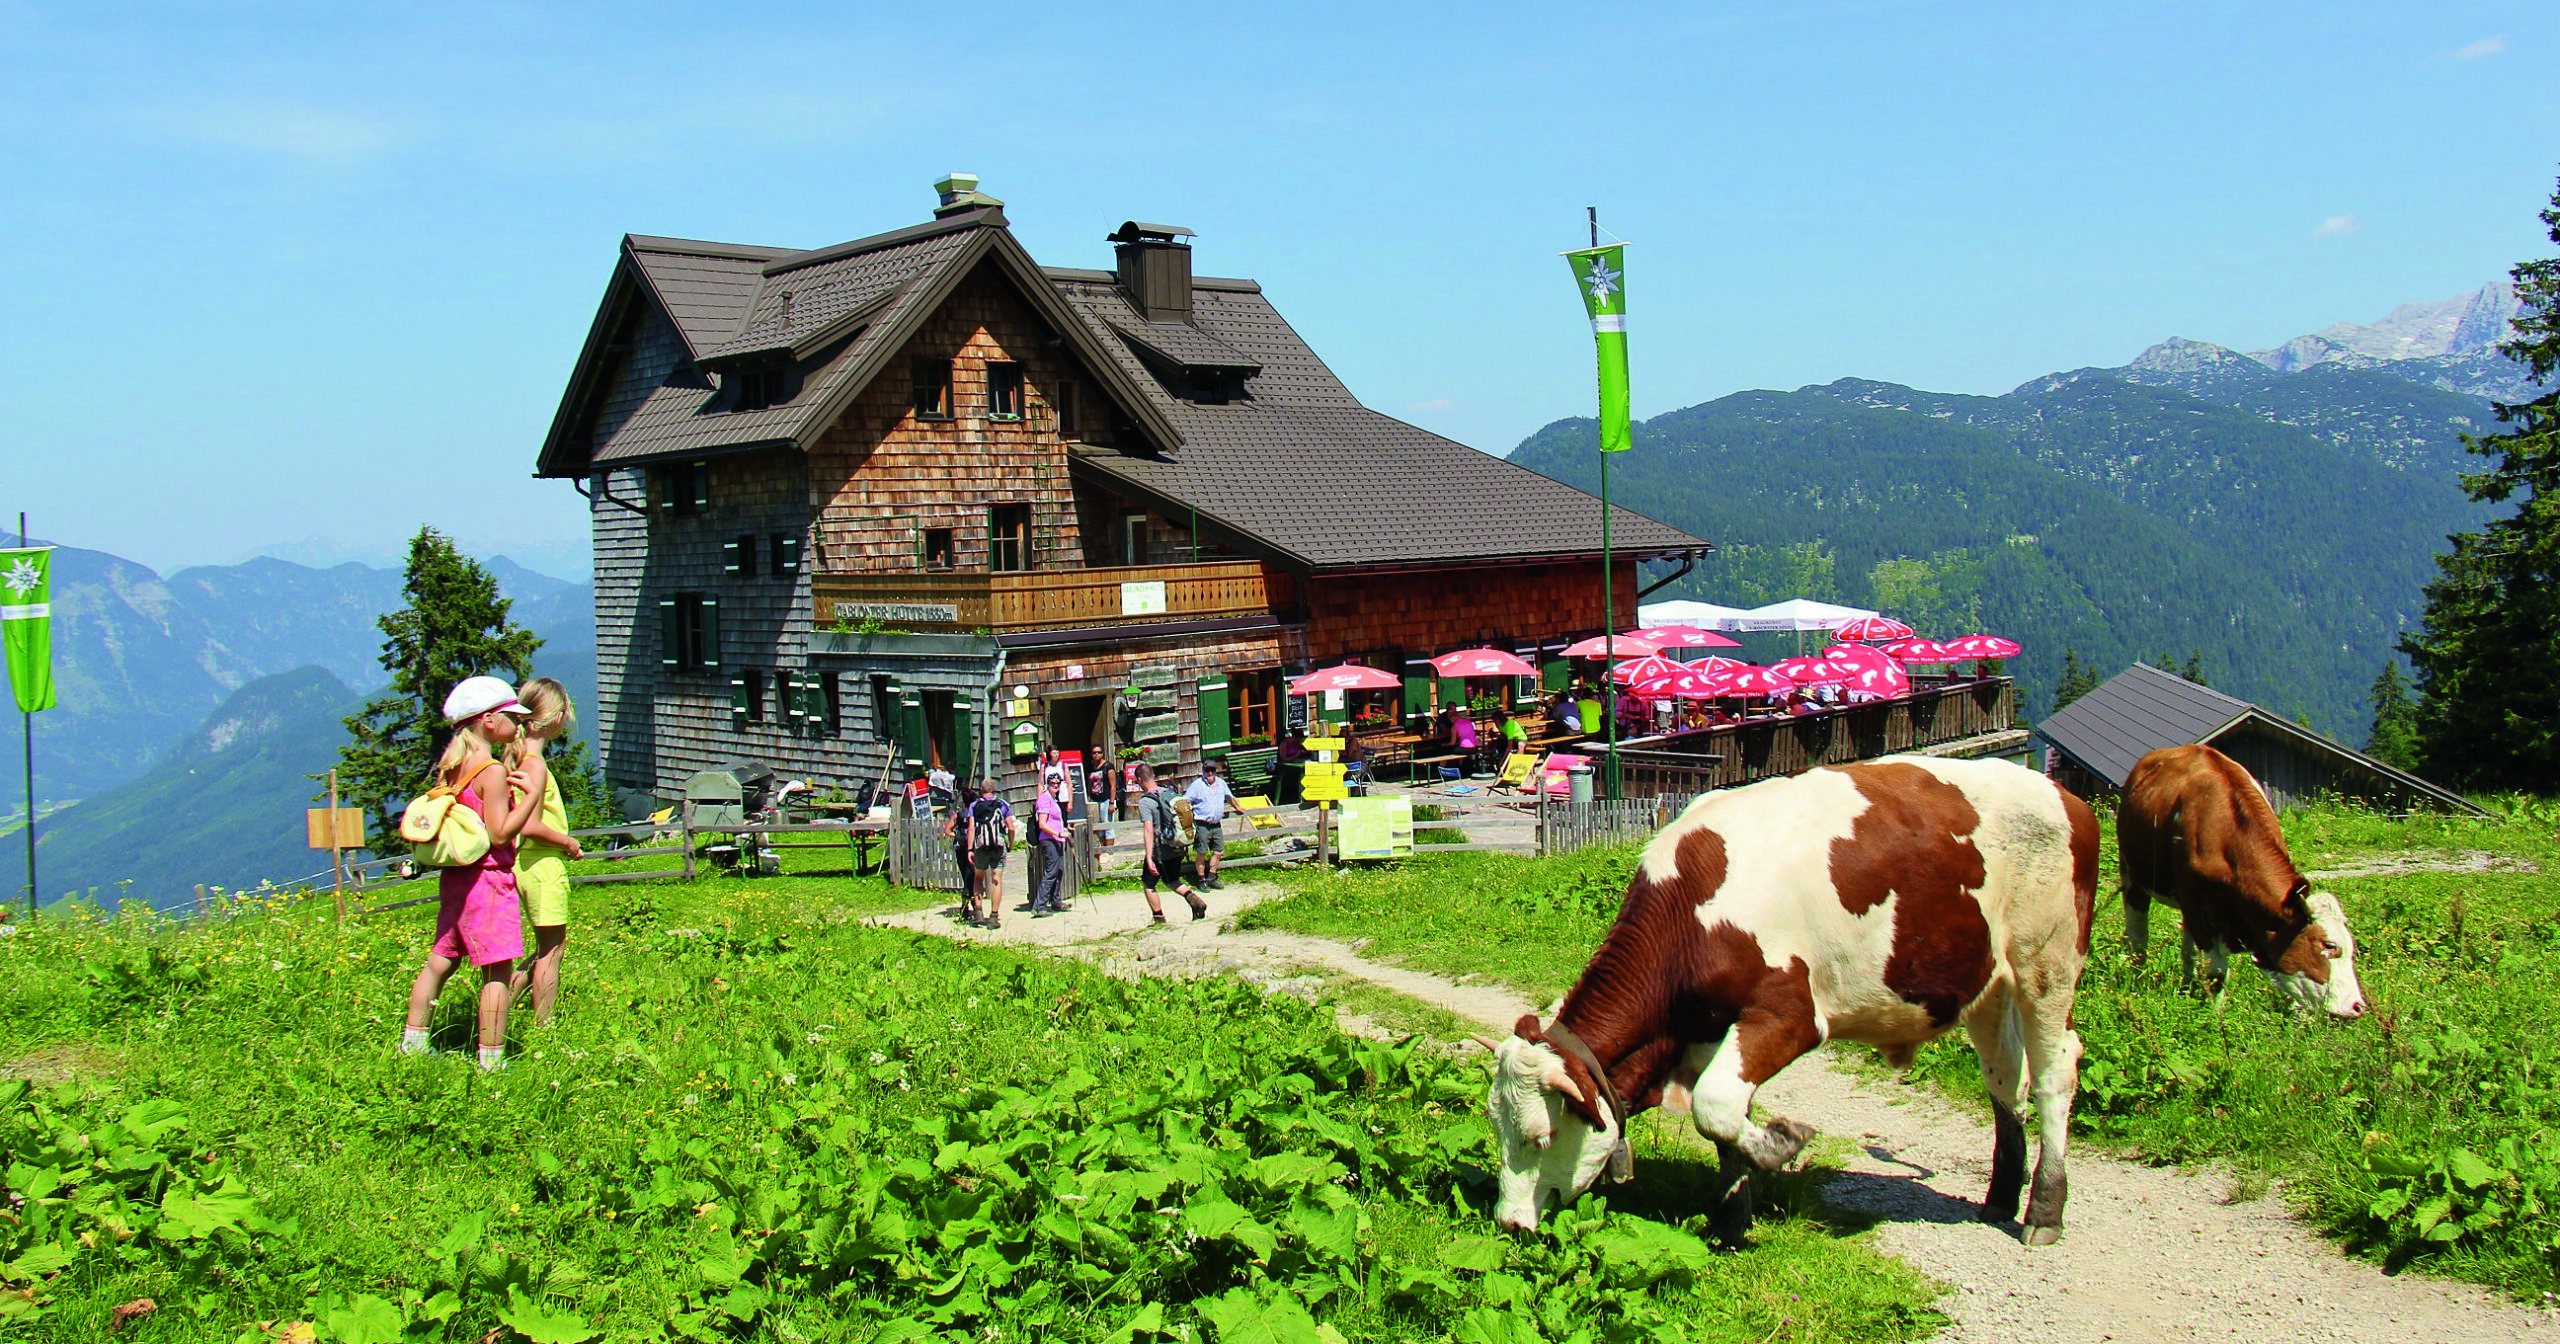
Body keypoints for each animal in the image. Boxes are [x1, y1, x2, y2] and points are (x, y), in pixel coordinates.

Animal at [1495, 752, 2088, 1249]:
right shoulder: (1711, 1029)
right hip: (1986, 978)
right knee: (2005, 1075)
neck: (1693, 912)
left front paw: (1784, 1143)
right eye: (1495, 1127)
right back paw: (2000, 1199)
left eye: (1540, 1137)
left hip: (2049, 961)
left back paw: (2044, 1211)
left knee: (2055, 1073)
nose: (1508, 1223)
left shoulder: (1790, 1016)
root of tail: (2063, 794)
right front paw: (1729, 1225)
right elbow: (1725, 1124)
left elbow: (1714, 1107)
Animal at [2109, 742, 2365, 1018]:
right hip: (2133, 875)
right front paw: (2216, 1016)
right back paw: (2136, 982)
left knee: (2187, 950)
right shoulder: (2199, 908)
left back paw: (2186, 986)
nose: (2358, 1006)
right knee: (2138, 938)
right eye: (2328, 945)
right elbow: (2217, 974)